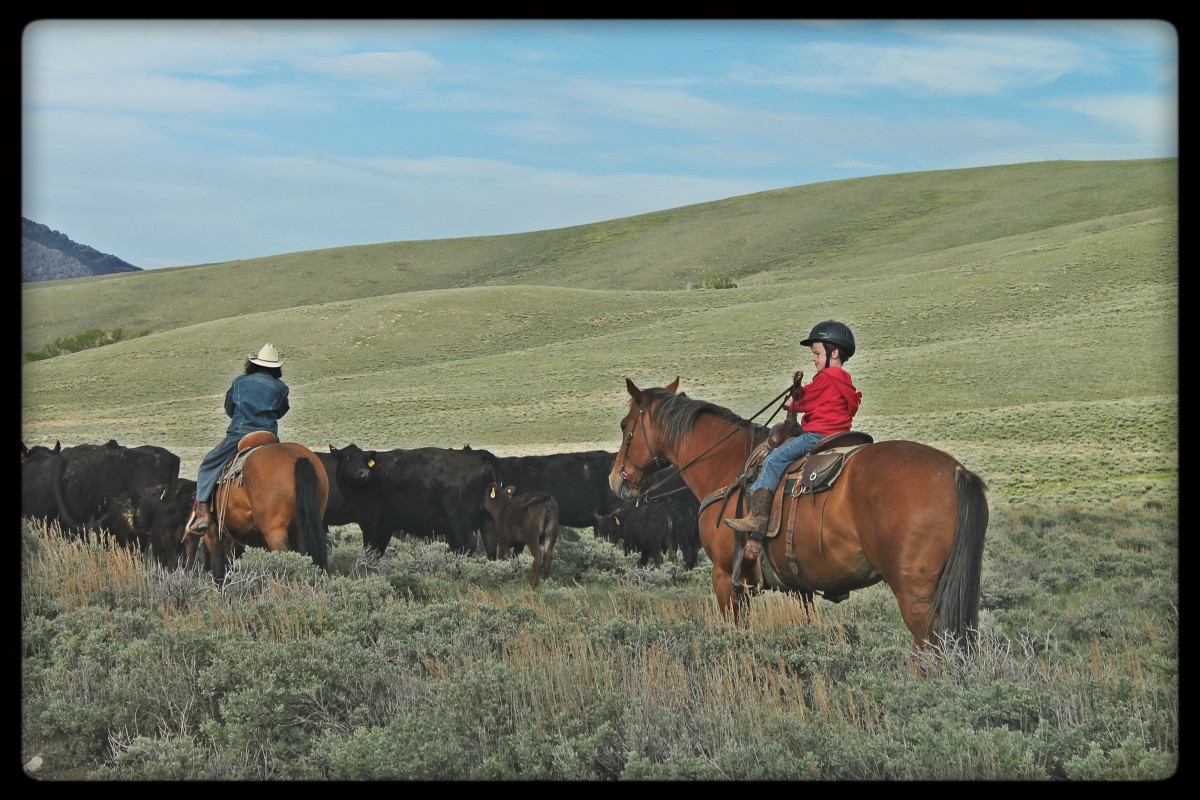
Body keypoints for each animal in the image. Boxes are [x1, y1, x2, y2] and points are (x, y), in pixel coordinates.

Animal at [326, 443, 499, 556]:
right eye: (347, 458)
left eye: (364, 459)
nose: (364, 473)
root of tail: (478, 456)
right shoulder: (385, 527)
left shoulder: (371, 522)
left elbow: (370, 551)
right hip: (487, 522)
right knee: (490, 547)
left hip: (459, 522)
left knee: (466, 546)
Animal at [604, 376, 988, 652]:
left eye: (624, 426)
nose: (615, 479)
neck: (728, 466)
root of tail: (956, 472)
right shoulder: (798, 588)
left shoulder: (726, 578)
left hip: (917, 597)